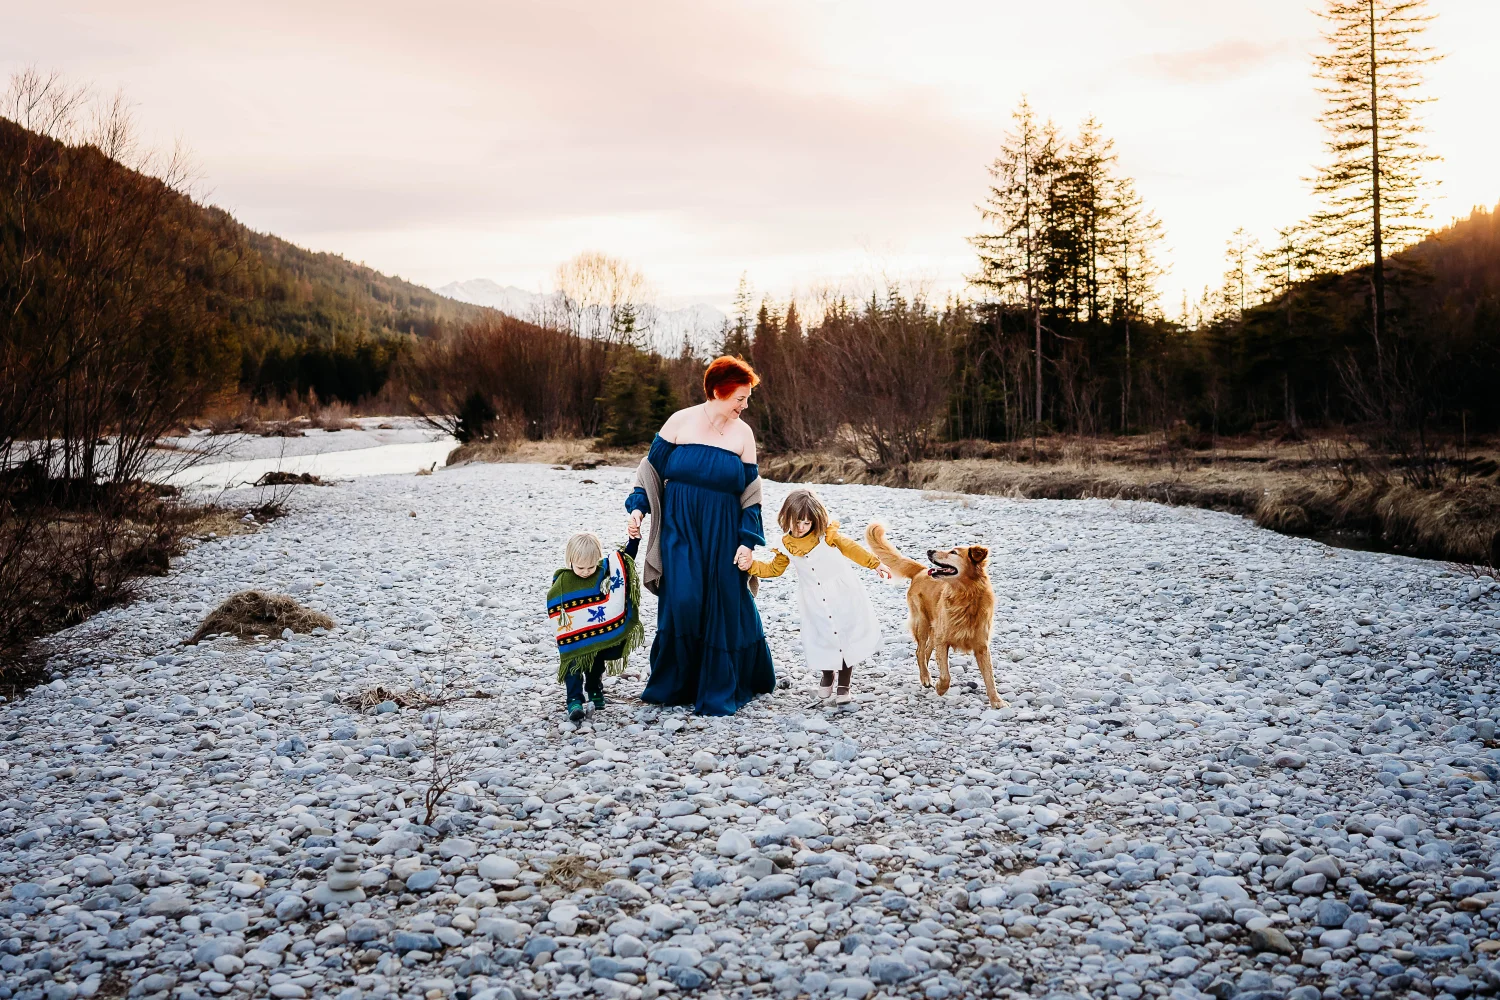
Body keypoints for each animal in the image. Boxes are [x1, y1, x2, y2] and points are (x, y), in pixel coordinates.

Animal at [864, 524, 1002, 710]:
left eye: (953, 552)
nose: (930, 551)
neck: (965, 596)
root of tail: (921, 570)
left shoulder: (981, 645)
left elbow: (989, 676)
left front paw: (997, 701)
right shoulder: (943, 640)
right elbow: (946, 675)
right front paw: (940, 688)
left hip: (933, 628)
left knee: (925, 652)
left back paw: (926, 673)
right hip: (922, 623)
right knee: (919, 651)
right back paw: (925, 677)